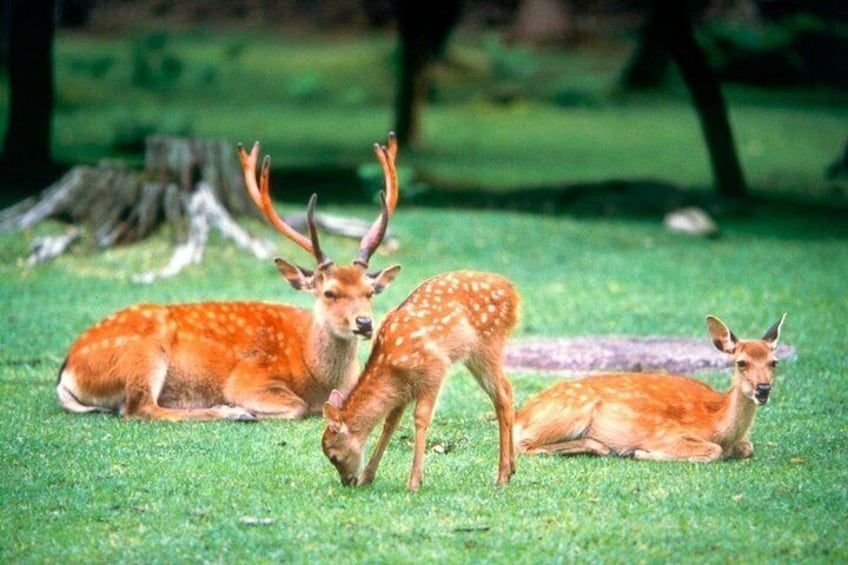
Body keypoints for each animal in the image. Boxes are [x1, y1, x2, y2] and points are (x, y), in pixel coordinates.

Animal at [55, 134, 402, 421]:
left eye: (370, 291)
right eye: (329, 292)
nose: (364, 323)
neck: (316, 374)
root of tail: (66, 370)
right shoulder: (249, 377)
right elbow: (298, 406)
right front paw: (248, 409)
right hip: (142, 353)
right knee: (139, 408)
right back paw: (232, 412)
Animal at [321, 270, 520, 491]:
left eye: (333, 457)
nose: (348, 482)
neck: (391, 366)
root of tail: (513, 293)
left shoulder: (434, 369)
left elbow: (421, 418)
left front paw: (414, 482)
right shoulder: (403, 390)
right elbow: (390, 423)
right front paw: (367, 477)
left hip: (488, 343)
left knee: (502, 396)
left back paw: (502, 475)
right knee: (507, 391)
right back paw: (512, 468)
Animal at [513, 313, 787, 462]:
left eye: (774, 362)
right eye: (741, 362)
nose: (763, 389)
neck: (717, 423)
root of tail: (520, 415)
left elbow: (747, 447)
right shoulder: (666, 434)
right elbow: (713, 450)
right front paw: (639, 453)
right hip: (570, 412)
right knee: (521, 444)